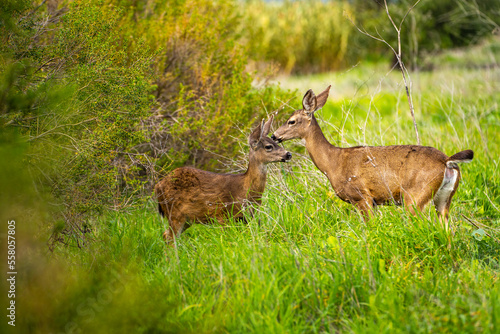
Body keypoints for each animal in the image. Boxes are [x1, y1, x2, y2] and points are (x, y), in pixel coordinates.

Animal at [154, 117, 292, 243]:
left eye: (276, 142)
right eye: (268, 146)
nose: (288, 154)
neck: (244, 190)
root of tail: (158, 186)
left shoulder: (245, 218)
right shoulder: (222, 216)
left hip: (187, 218)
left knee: (166, 235)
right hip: (174, 213)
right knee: (170, 238)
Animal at [272, 85, 474, 230]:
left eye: (291, 121)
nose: (274, 136)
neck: (333, 163)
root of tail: (447, 161)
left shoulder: (362, 196)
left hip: (415, 196)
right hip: (444, 199)